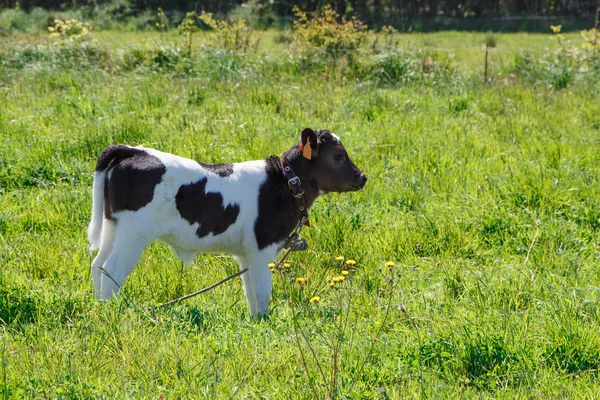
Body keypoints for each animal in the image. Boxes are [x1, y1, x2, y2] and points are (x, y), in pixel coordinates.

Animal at [86, 128, 364, 316]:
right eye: (339, 155)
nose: (363, 177)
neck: (284, 182)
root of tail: (132, 150)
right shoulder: (261, 248)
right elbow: (262, 291)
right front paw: (265, 323)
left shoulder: (246, 254)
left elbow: (250, 291)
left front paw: (256, 321)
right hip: (134, 234)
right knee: (112, 269)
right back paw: (113, 312)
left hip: (114, 226)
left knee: (98, 264)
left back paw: (100, 307)